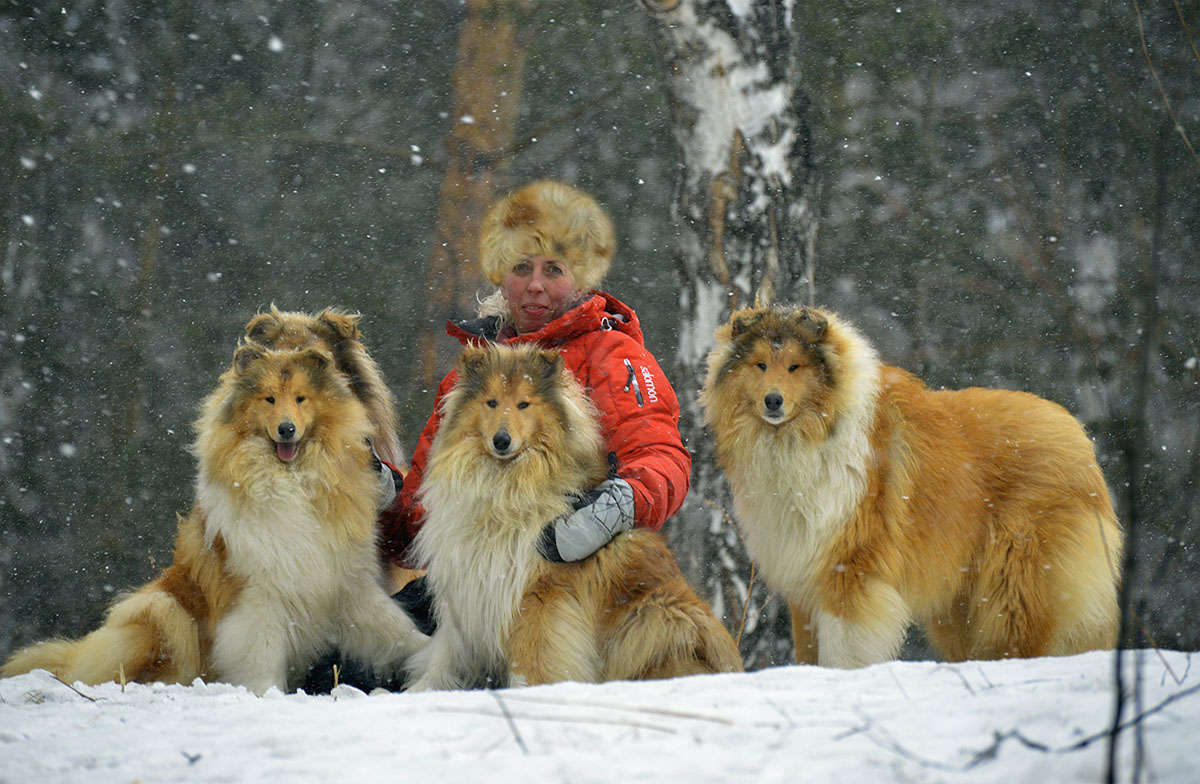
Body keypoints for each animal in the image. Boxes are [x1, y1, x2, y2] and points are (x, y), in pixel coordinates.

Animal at [1, 336, 427, 691]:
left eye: (301, 398)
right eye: (269, 400)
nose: (286, 430)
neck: (293, 478)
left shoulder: (345, 583)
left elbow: (393, 629)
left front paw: (428, 650)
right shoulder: (259, 596)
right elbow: (261, 656)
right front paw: (267, 695)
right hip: (162, 610)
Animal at [405, 343, 739, 691]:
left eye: (524, 404)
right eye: (491, 402)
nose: (501, 440)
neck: (504, 481)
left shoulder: (540, 595)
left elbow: (532, 659)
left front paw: (531, 692)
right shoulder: (465, 584)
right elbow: (447, 652)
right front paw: (423, 689)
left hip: (659, 616)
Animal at [700, 303, 1118, 667]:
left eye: (794, 366)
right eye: (760, 364)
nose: (773, 401)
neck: (807, 436)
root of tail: (1078, 438)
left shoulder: (849, 570)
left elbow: (842, 655)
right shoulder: (803, 576)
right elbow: (808, 653)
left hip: (1014, 586)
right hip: (960, 606)